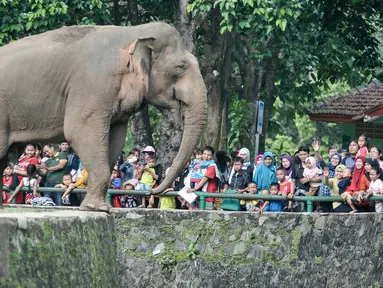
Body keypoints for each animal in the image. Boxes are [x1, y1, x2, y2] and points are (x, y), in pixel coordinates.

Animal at [0, 22, 208, 210]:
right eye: (181, 67)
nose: (151, 192)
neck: (132, 33)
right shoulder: (94, 84)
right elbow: (78, 131)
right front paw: (96, 208)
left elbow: (115, 139)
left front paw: (96, 207)